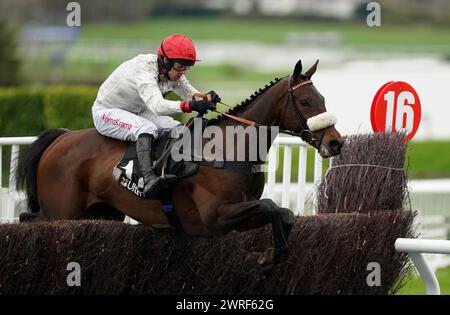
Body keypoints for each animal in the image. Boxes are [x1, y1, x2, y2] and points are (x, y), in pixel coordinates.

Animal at [15, 59, 342, 270]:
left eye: (323, 98)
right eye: (305, 102)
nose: (336, 142)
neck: (230, 148)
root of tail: (61, 137)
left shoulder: (239, 216)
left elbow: (283, 213)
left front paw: (270, 255)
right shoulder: (216, 217)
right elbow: (273, 207)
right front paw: (269, 255)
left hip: (101, 214)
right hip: (62, 212)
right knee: (28, 220)